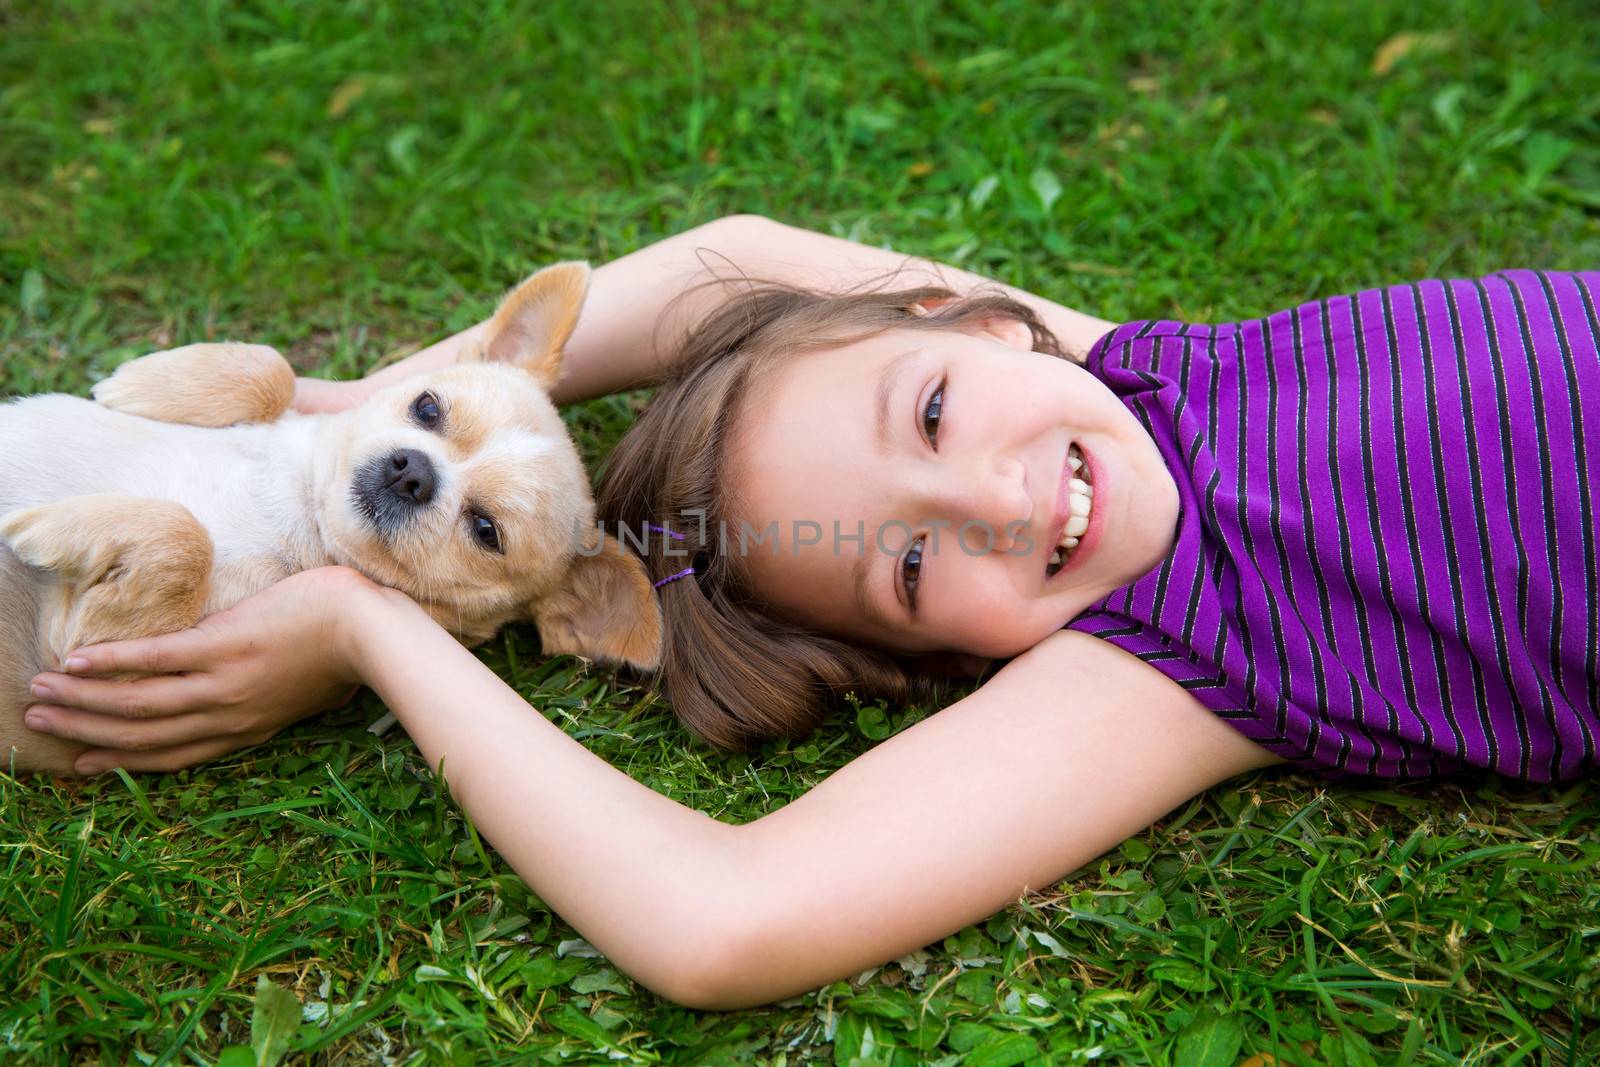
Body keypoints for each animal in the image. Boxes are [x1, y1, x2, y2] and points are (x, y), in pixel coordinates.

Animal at [1, 260, 662, 777]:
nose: (413, 471)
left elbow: (183, 539)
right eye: (427, 408)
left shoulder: (86, 664)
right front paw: (144, 383)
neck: (299, 503)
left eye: (485, 531)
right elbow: (275, 369)